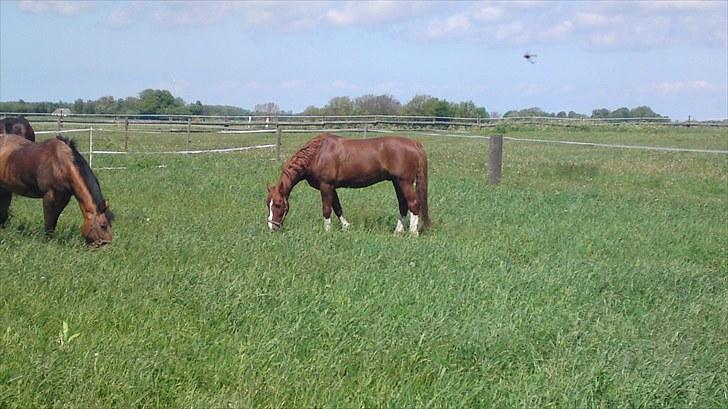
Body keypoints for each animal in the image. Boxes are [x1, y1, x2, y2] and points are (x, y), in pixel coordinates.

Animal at [266, 133, 426, 234]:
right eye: (268, 204)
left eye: (278, 205)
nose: (272, 228)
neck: (317, 154)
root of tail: (414, 143)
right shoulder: (331, 188)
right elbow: (337, 208)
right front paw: (346, 227)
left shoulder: (326, 186)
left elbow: (327, 209)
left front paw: (327, 231)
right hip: (397, 182)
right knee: (403, 205)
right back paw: (398, 231)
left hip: (404, 182)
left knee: (413, 204)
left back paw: (413, 233)